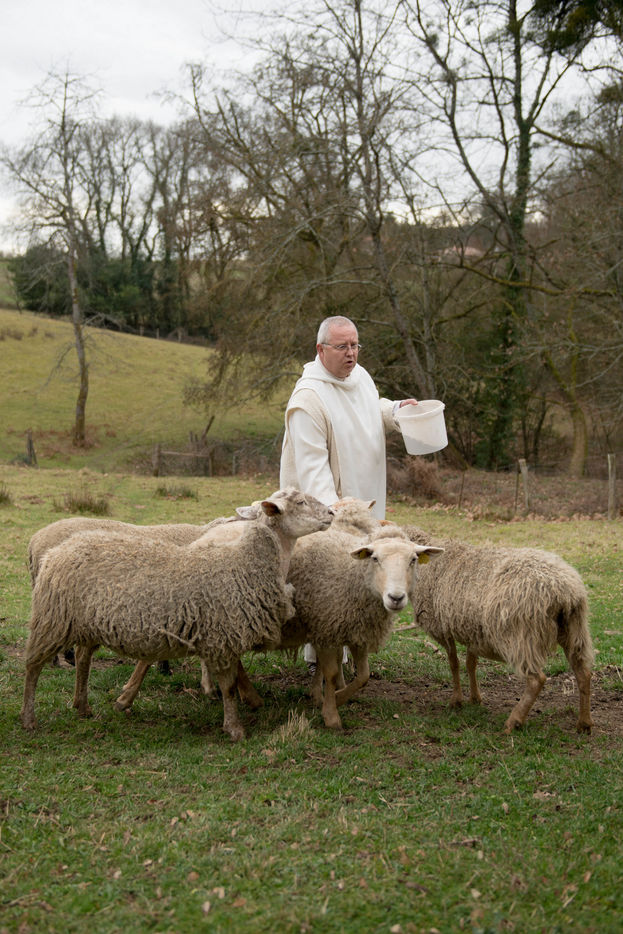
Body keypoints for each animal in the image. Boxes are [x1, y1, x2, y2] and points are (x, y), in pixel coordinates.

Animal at [20, 508, 315, 741]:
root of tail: (51, 552)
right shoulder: (218, 631)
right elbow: (227, 683)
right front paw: (234, 722)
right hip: (54, 618)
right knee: (33, 666)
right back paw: (29, 717)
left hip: (87, 623)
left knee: (83, 658)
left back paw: (82, 705)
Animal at [404, 527, 594, 734]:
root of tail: (562, 590)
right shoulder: (473, 630)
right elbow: (471, 663)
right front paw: (475, 698)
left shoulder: (441, 627)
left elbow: (454, 663)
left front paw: (457, 700)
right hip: (574, 629)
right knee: (583, 673)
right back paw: (584, 723)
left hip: (521, 635)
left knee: (537, 679)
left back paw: (513, 722)